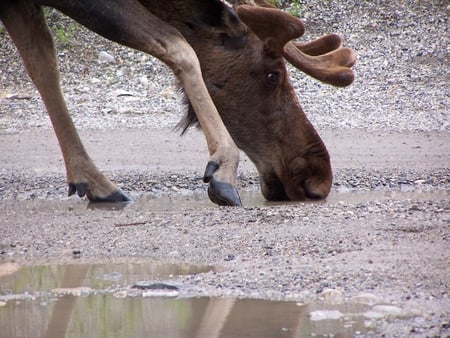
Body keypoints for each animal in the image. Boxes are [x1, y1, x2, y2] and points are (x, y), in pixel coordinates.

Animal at [1, 0, 356, 206]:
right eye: (272, 75)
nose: (319, 176)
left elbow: (42, 63)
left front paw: (90, 178)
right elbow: (176, 43)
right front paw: (223, 167)